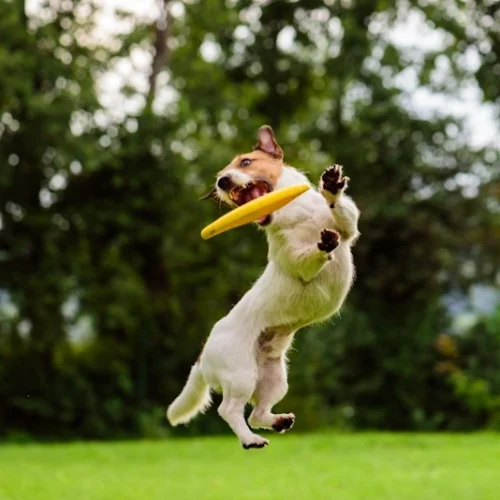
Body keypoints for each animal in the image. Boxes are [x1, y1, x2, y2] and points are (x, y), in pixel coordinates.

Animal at [167, 125, 360, 450]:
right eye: (220, 176)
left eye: (246, 162)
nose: (222, 181)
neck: (295, 214)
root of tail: (203, 355)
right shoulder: (297, 262)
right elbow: (307, 258)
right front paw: (321, 246)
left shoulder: (348, 229)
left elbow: (342, 216)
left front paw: (332, 186)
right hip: (242, 374)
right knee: (230, 410)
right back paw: (250, 440)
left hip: (273, 377)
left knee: (257, 412)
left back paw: (277, 421)